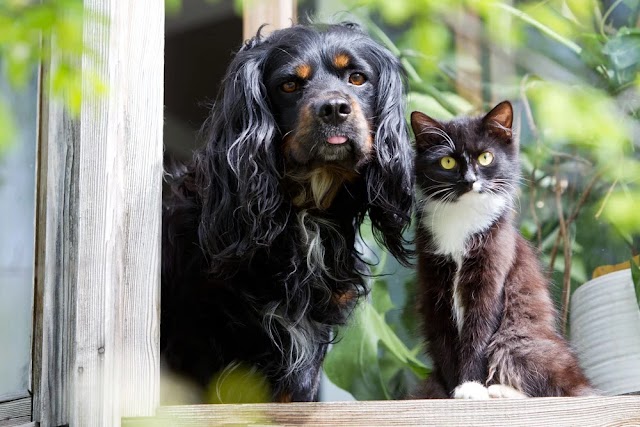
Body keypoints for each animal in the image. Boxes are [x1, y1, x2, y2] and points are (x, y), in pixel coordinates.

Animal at [410, 102, 596, 400]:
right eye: (447, 162)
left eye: (485, 157)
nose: (470, 180)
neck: (462, 218)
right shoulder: (434, 282)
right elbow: (444, 340)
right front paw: (450, 393)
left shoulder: (494, 266)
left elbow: (479, 334)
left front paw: (470, 387)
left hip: (519, 338)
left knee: (556, 389)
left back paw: (499, 390)